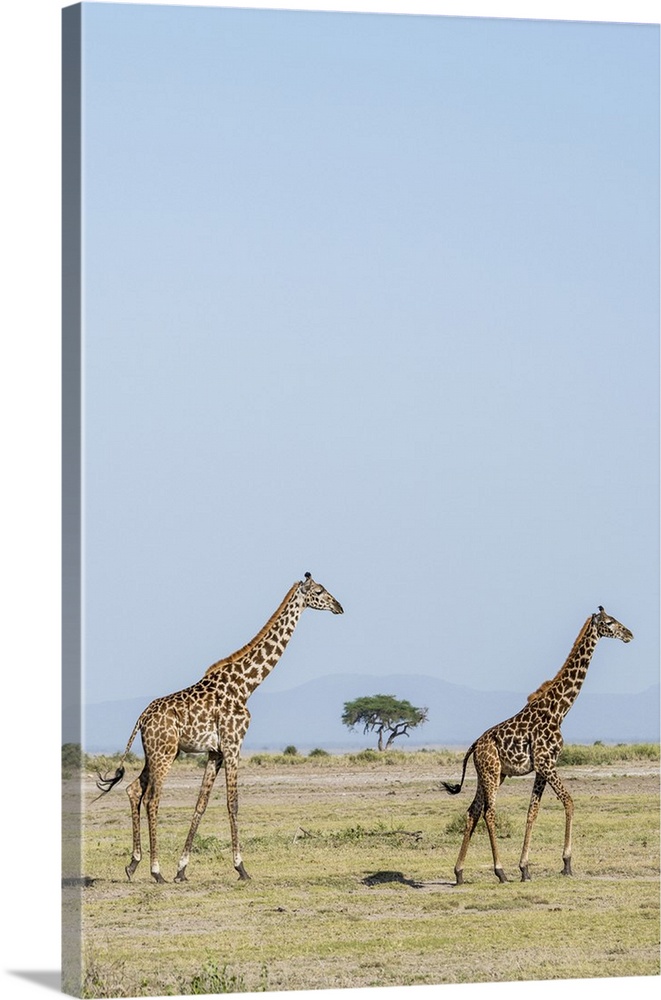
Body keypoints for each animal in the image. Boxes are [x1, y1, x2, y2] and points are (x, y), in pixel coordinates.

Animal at [95, 572, 342, 884]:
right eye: (320, 591)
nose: (339, 607)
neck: (246, 685)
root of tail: (141, 718)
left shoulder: (216, 752)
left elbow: (201, 804)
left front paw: (182, 869)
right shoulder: (233, 744)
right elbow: (232, 802)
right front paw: (241, 868)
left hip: (157, 752)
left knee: (133, 790)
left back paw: (133, 864)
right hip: (164, 754)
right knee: (152, 799)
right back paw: (155, 870)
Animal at [440, 608, 632, 884]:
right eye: (609, 622)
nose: (629, 634)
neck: (559, 710)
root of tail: (475, 746)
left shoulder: (542, 768)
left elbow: (533, 812)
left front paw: (525, 868)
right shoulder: (547, 763)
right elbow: (569, 802)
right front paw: (566, 863)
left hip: (491, 774)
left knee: (472, 811)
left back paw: (459, 873)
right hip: (491, 773)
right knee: (489, 813)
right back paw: (500, 872)